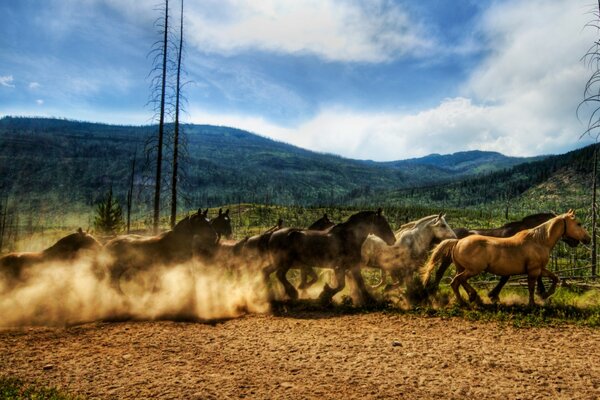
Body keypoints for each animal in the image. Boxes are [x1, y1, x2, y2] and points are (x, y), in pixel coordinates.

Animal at [262, 209, 394, 304]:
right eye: (383, 223)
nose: (393, 239)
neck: (347, 238)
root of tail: (272, 235)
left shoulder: (350, 267)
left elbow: (356, 284)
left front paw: (371, 301)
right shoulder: (342, 267)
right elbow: (343, 285)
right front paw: (324, 294)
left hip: (277, 262)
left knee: (266, 272)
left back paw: (269, 294)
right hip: (285, 262)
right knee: (279, 275)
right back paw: (292, 293)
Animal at [422, 209, 592, 306]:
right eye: (578, 223)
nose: (587, 239)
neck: (538, 239)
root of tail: (457, 240)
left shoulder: (539, 268)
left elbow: (555, 278)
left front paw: (544, 295)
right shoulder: (533, 269)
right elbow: (529, 285)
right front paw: (535, 301)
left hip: (462, 268)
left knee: (456, 281)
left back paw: (469, 298)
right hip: (470, 269)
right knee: (452, 279)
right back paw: (464, 298)